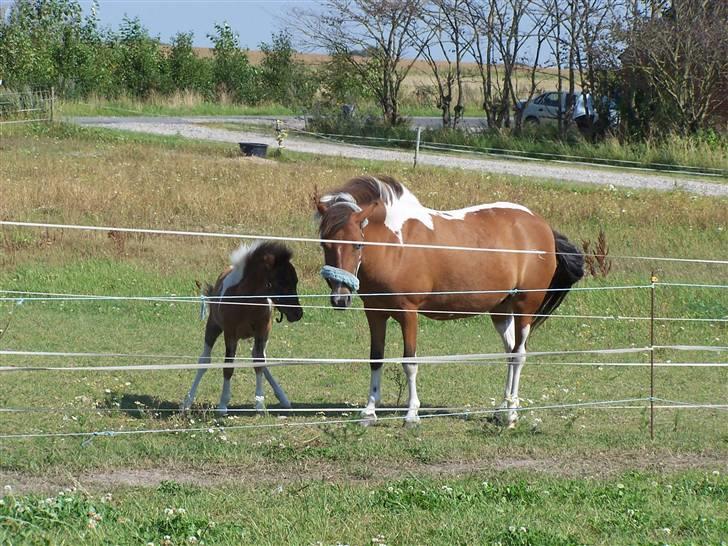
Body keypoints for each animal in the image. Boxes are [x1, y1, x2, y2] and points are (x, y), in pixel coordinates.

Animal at [183, 240, 306, 414]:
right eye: (281, 282)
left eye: (295, 281)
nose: (297, 313)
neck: (246, 302)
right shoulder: (230, 334)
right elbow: (228, 366)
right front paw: (223, 404)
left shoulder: (262, 332)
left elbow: (260, 363)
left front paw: (260, 403)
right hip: (213, 327)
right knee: (204, 360)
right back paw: (187, 400)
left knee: (258, 356)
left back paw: (283, 397)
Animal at [314, 174, 584, 424]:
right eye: (324, 243)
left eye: (358, 244)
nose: (340, 299)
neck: (395, 245)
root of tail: (543, 227)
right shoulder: (375, 312)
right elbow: (375, 358)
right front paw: (369, 411)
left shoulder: (408, 313)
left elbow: (410, 361)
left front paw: (411, 415)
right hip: (501, 310)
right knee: (510, 352)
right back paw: (502, 408)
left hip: (524, 309)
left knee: (519, 355)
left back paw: (511, 415)